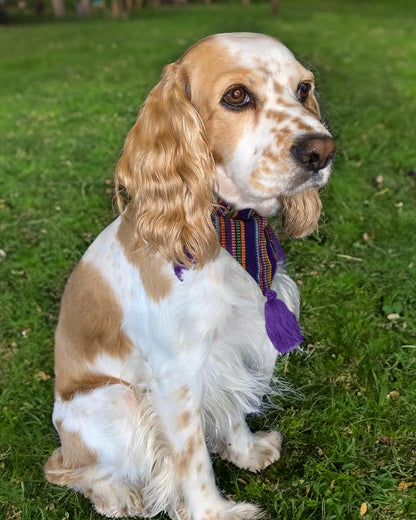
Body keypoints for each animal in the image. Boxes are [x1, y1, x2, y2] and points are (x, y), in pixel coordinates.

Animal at [45, 33, 336, 520]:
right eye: (236, 96)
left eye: (303, 89)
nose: (321, 151)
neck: (228, 229)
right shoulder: (175, 375)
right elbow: (192, 457)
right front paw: (214, 512)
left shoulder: (228, 348)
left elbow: (231, 408)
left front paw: (246, 451)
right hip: (114, 402)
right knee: (71, 470)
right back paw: (117, 495)